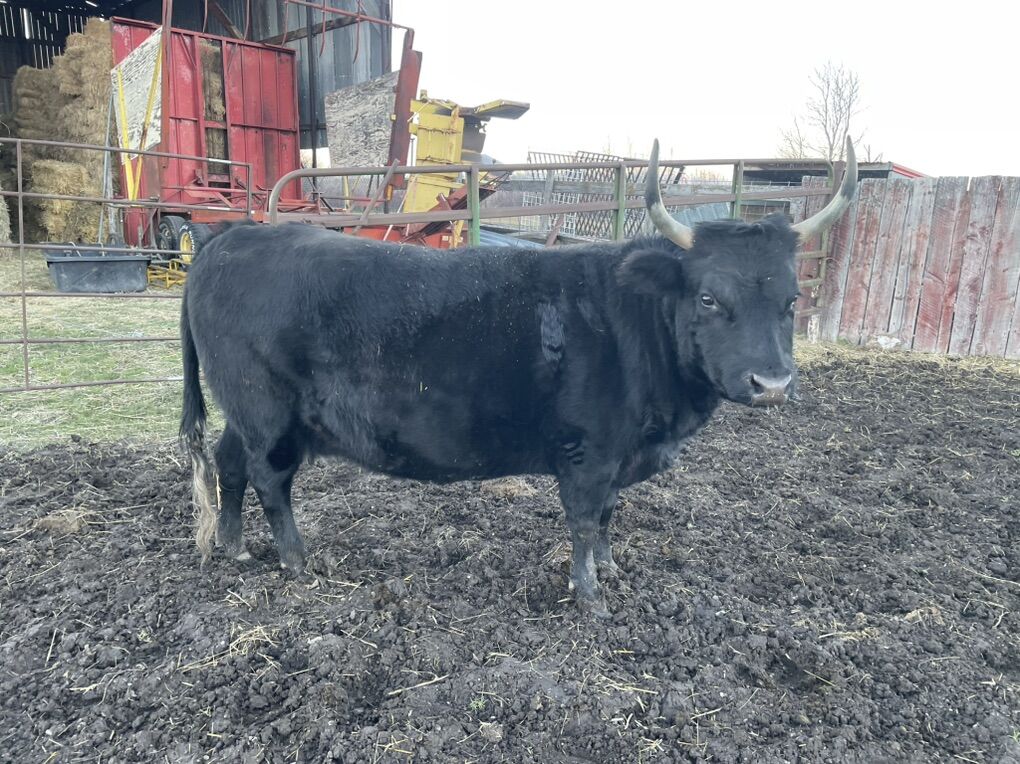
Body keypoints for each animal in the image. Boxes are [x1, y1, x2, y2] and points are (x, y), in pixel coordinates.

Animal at [180, 138, 857, 611]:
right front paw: (590, 596)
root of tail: (229, 239)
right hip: (268, 412)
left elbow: (609, 516)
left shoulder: (617, 456)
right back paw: (297, 562)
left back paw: (236, 548)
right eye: (710, 298)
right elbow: (584, 520)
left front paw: (611, 569)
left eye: (792, 299)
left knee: (230, 463)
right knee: (271, 480)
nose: (772, 385)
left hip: (244, 411)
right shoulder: (589, 453)